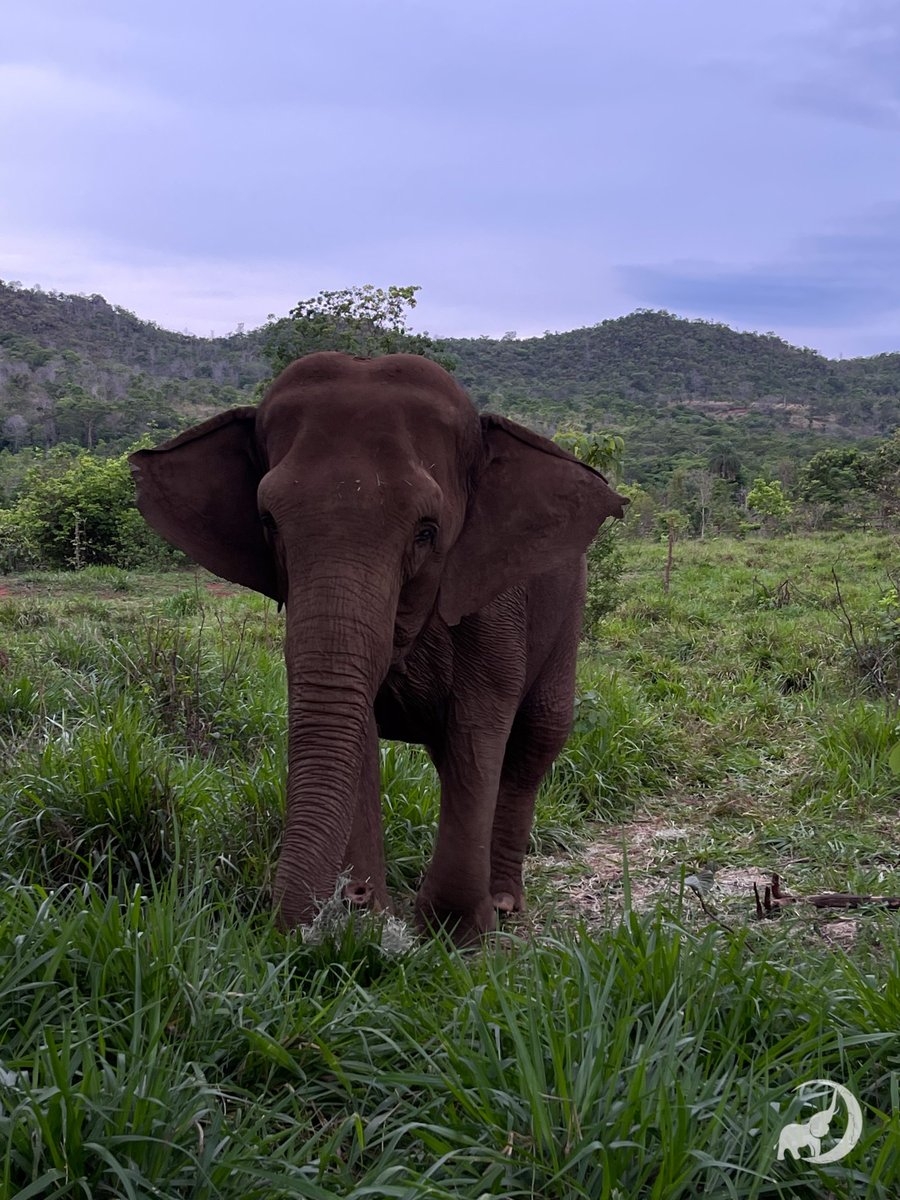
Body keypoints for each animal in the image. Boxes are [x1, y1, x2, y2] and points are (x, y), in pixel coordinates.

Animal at [130, 352, 627, 942]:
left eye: (427, 531)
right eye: (268, 522)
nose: (351, 897)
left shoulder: (492, 597)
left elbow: (479, 724)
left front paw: (455, 931)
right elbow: (356, 724)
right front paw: (368, 923)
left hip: (569, 606)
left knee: (536, 737)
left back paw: (505, 902)